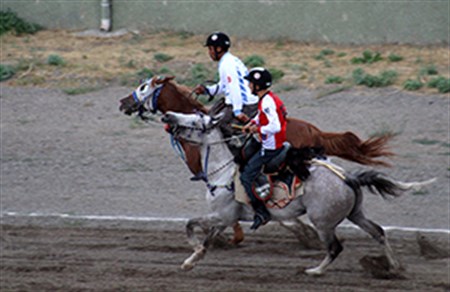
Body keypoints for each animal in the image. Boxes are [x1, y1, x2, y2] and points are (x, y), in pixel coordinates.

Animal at [161, 110, 432, 274]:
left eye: (194, 121)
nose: (169, 116)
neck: (225, 172)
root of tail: (349, 178)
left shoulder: (224, 216)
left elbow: (190, 225)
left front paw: (192, 251)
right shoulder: (226, 218)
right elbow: (207, 239)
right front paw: (190, 261)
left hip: (323, 222)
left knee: (335, 248)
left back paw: (315, 271)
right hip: (355, 214)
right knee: (378, 232)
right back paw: (394, 267)